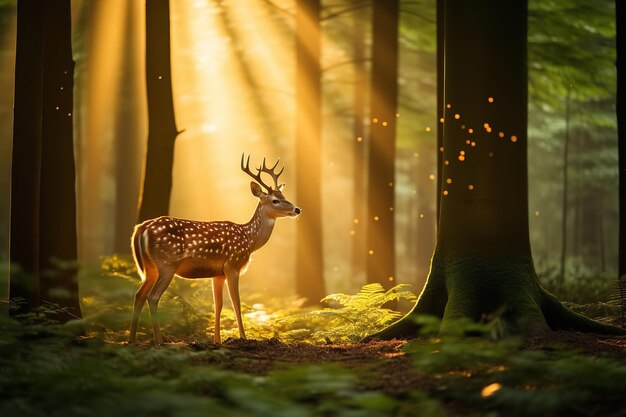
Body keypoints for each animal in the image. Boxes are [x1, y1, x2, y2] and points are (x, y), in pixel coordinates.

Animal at [128, 154, 298, 344]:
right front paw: (243, 337)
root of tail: (141, 228)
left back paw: (131, 340)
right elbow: (237, 303)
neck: (249, 239)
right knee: (153, 296)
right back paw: (159, 341)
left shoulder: (218, 273)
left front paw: (217, 340)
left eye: (283, 195)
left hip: (149, 267)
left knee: (139, 295)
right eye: (275, 200)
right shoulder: (232, 265)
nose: (297, 209)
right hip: (167, 264)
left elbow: (218, 305)